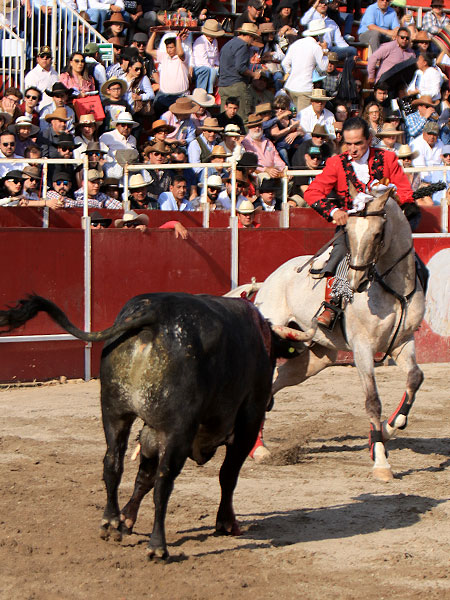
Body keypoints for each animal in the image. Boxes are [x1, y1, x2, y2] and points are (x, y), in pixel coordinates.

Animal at [0, 292, 306, 560]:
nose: (271, 403)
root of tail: (154, 313)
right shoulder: (246, 423)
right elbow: (227, 475)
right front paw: (227, 523)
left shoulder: (149, 429)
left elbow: (142, 477)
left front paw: (126, 519)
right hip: (178, 431)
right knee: (164, 482)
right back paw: (158, 547)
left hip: (114, 412)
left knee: (112, 464)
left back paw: (110, 522)